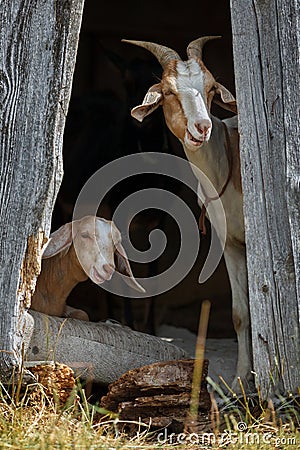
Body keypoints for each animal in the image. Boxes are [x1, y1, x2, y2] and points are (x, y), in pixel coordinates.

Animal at [122, 37, 251, 392]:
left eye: (211, 88)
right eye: (168, 91)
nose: (202, 127)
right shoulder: (231, 242)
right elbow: (240, 313)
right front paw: (240, 383)